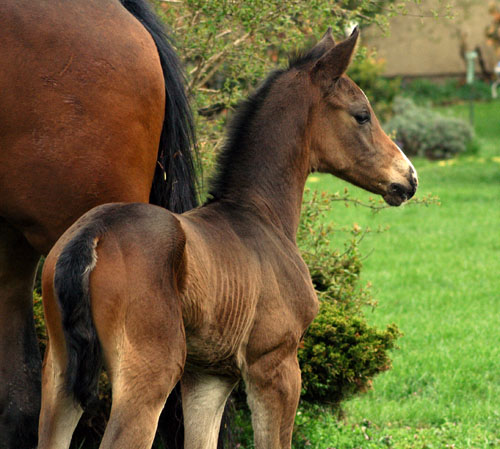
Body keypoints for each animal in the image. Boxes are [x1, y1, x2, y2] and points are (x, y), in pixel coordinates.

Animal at [37, 28, 416, 448]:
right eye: (362, 115)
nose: (409, 178)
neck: (260, 216)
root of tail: (94, 234)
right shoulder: (275, 365)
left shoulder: (209, 377)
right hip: (149, 374)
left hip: (59, 375)